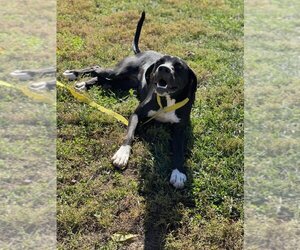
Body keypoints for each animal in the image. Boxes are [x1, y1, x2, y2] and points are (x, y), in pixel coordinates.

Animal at [62, 11, 197, 188]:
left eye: (179, 67)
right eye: (160, 62)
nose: (162, 68)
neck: (165, 100)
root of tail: (140, 52)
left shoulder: (180, 128)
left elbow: (179, 149)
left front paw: (178, 172)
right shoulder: (136, 114)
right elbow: (130, 134)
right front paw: (122, 154)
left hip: (120, 82)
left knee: (101, 79)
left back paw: (84, 84)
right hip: (117, 72)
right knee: (96, 68)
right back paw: (73, 74)